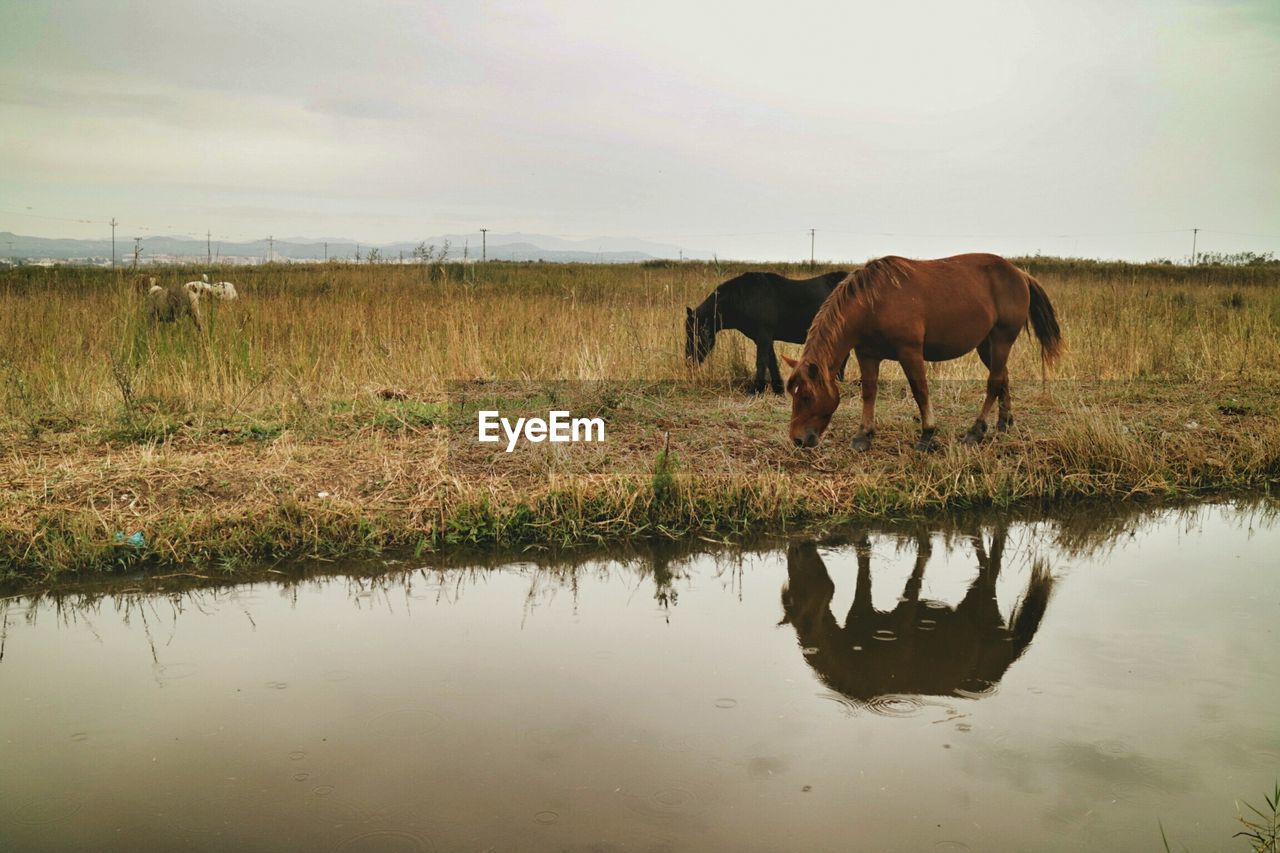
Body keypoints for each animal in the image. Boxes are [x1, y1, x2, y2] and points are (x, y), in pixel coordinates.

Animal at [680, 270, 849, 394]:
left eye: (696, 333)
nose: (689, 360)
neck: (745, 297)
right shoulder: (764, 338)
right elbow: (771, 361)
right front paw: (778, 389)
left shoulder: (763, 336)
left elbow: (761, 361)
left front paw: (756, 390)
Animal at [783, 252, 1064, 450]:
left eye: (806, 396)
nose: (797, 439)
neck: (873, 302)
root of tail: (1020, 273)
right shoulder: (868, 354)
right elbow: (869, 392)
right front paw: (863, 436)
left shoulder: (910, 352)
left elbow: (920, 391)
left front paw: (928, 434)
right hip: (987, 346)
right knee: (1002, 377)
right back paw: (1003, 423)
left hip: (1002, 339)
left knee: (994, 382)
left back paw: (975, 431)